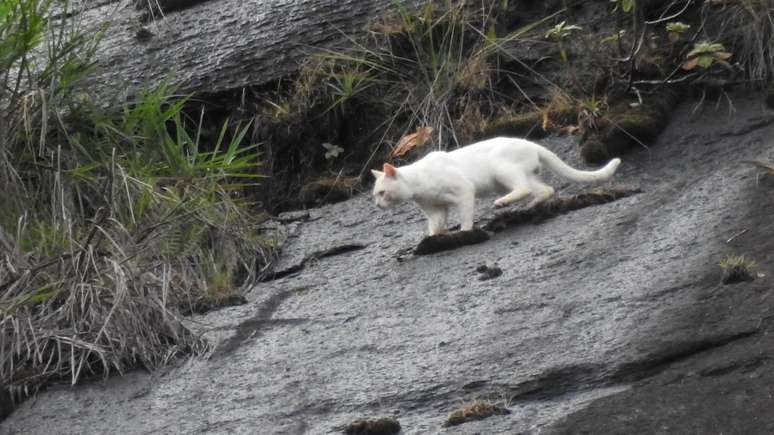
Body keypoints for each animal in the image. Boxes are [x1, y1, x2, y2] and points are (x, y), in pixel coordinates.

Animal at [372, 138, 624, 237]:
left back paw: (503, 203)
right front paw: (434, 237)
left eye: (382, 193)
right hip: (513, 178)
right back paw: (531, 205)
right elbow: (435, 227)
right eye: (375, 195)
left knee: (524, 188)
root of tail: (531, 143)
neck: (418, 184)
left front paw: (465, 232)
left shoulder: (464, 190)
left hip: (500, 170)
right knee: (545, 189)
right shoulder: (435, 210)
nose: (377, 205)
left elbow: (465, 217)